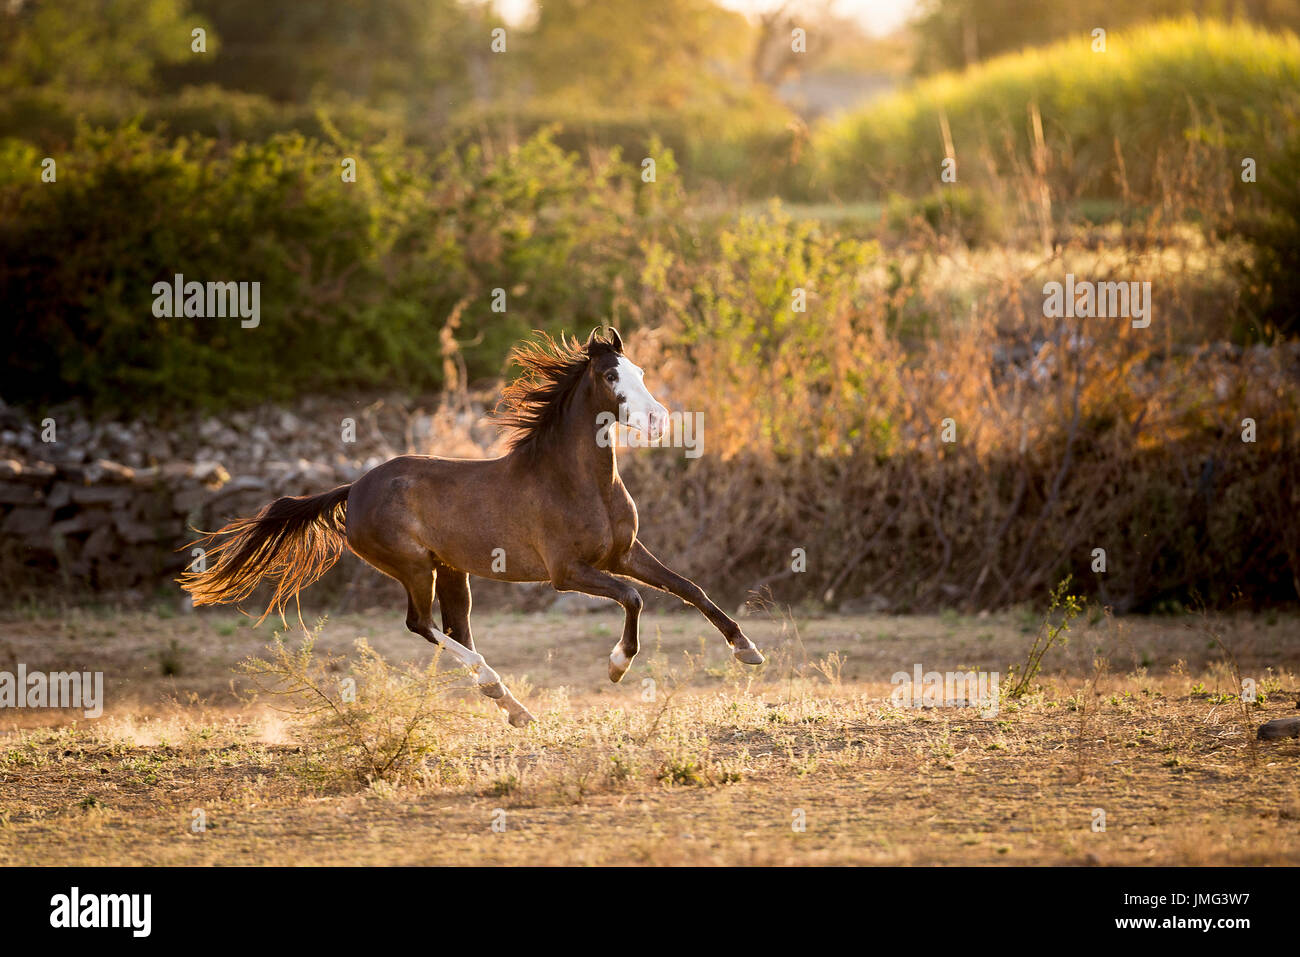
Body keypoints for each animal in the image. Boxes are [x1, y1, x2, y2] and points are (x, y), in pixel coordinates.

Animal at [179, 327, 765, 726]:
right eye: (609, 376)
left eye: (640, 370)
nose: (659, 420)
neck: (576, 480)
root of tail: (355, 488)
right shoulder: (568, 573)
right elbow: (634, 598)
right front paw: (618, 666)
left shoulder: (624, 554)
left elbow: (689, 588)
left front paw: (747, 650)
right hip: (415, 568)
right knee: (421, 625)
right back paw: (495, 686)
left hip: (452, 571)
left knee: (454, 628)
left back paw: (514, 707)